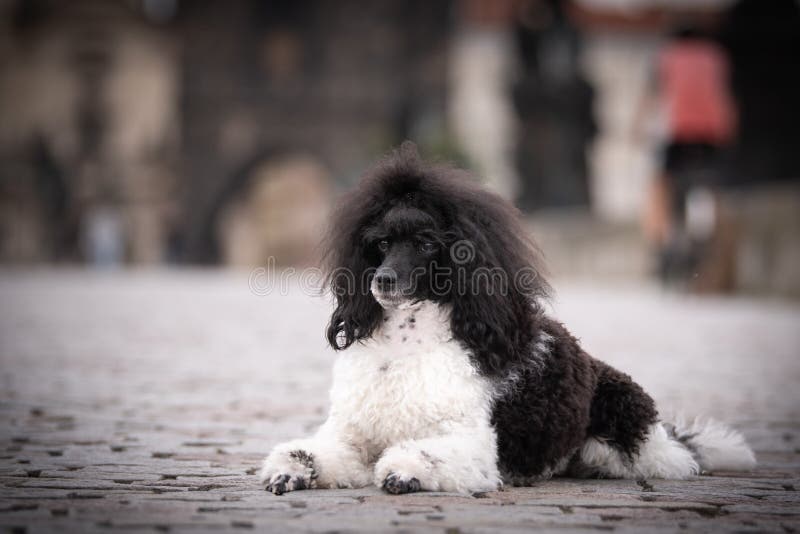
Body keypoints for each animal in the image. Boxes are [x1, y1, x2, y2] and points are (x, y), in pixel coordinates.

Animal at [260, 143, 752, 498]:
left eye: (426, 243)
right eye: (380, 243)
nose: (382, 280)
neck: (405, 345)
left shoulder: (472, 443)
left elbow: (428, 453)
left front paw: (405, 470)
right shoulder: (352, 436)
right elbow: (315, 451)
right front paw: (290, 470)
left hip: (629, 430)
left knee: (674, 461)